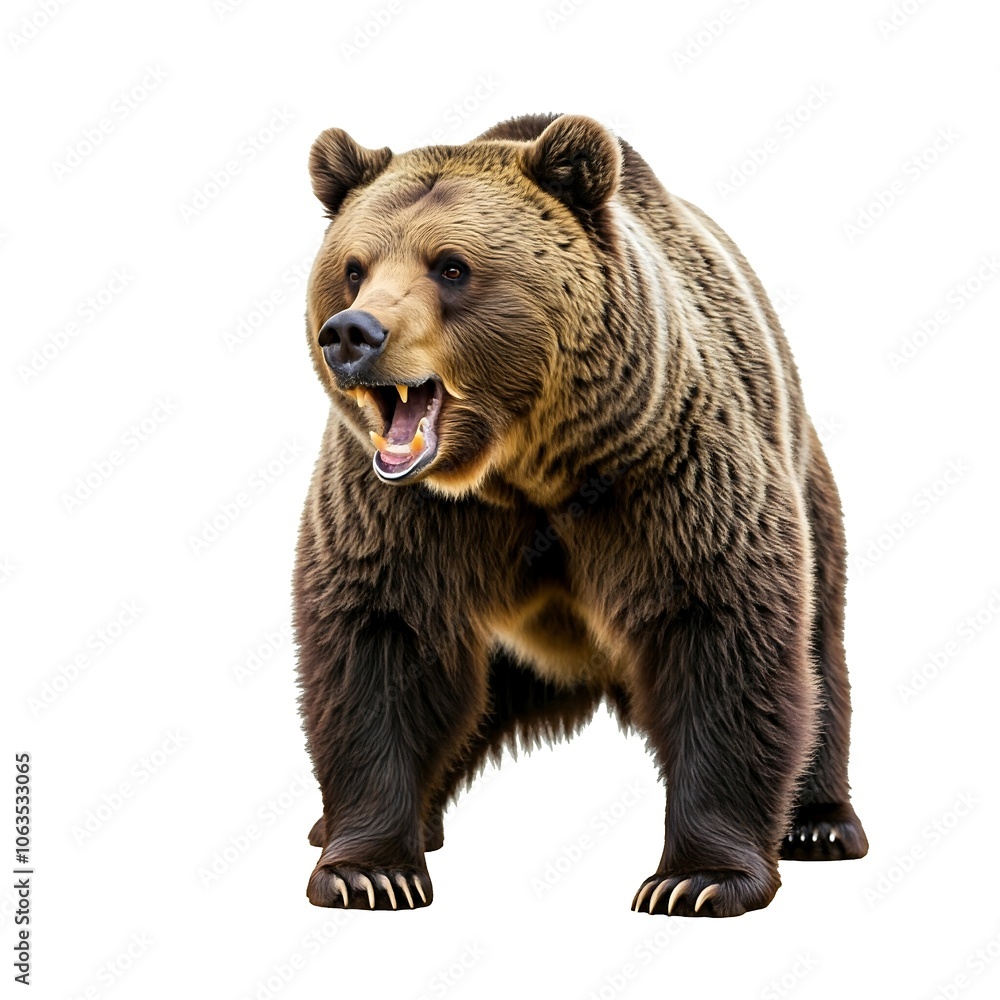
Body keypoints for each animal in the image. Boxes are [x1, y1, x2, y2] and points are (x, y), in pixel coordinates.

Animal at [293, 112, 868, 918]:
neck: (523, 466)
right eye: (353, 266)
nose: (352, 334)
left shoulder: (667, 473)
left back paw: (819, 821)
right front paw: (367, 870)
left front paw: (696, 878)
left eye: (451, 266)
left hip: (803, 473)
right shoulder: (400, 508)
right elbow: (381, 640)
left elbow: (722, 636)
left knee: (818, 649)